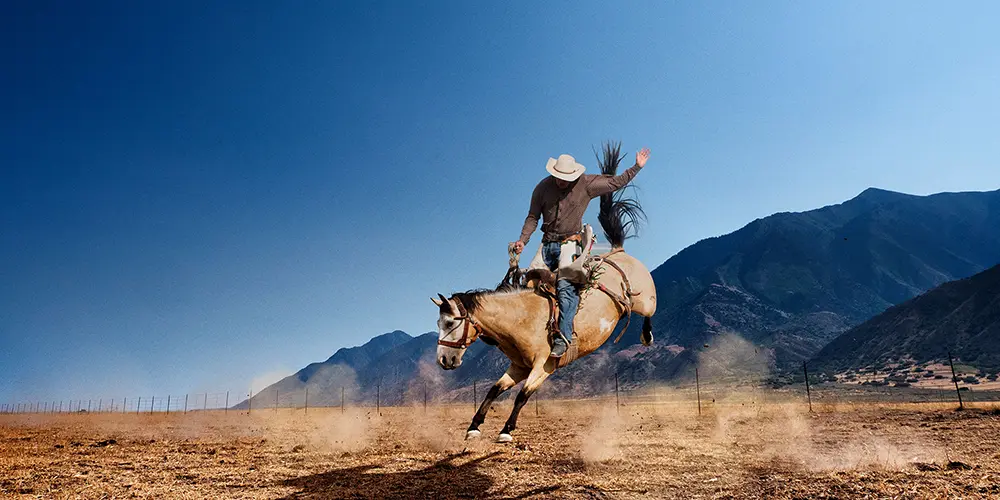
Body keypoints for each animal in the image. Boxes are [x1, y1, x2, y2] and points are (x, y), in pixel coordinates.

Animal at [432, 143, 656, 444]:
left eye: (449, 322)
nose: (444, 360)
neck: (521, 320)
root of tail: (618, 251)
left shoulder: (543, 366)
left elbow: (523, 395)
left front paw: (506, 431)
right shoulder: (518, 367)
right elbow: (494, 389)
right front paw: (474, 426)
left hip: (646, 301)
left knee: (650, 314)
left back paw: (647, 336)